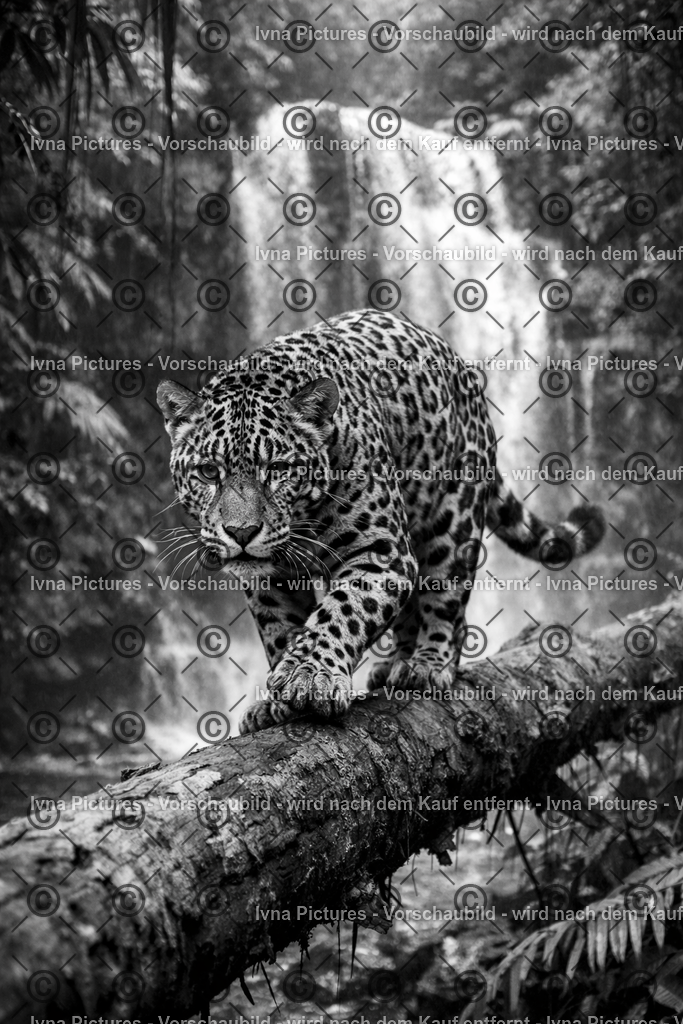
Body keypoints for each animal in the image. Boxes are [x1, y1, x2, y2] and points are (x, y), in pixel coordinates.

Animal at [157, 308, 605, 734]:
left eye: (278, 470)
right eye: (208, 472)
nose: (241, 533)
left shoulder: (382, 553)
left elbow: (341, 612)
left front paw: (309, 675)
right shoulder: (269, 578)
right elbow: (280, 630)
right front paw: (276, 701)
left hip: (453, 519)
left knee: (446, 600)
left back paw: (428, 664)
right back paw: (396, 663)